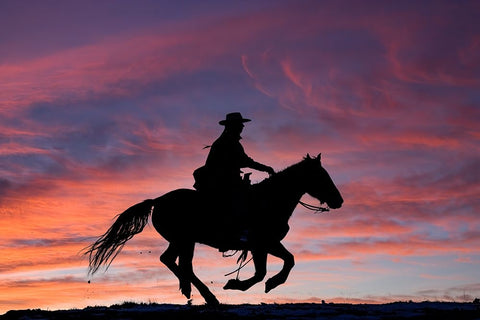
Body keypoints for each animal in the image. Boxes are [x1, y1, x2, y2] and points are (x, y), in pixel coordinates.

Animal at [84, 154, 344, 304]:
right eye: (322, 175)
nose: (339, 200)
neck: (269, 200)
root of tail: (158, 200)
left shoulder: (267, 244)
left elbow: (287, 261)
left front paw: (267, 283)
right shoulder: (261, 244)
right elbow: (266, 271)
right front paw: (240, 284)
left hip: (181, 241)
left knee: (172, 261)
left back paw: (189, 289)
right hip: (185, 240)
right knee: (180, 264)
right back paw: (208, 296)